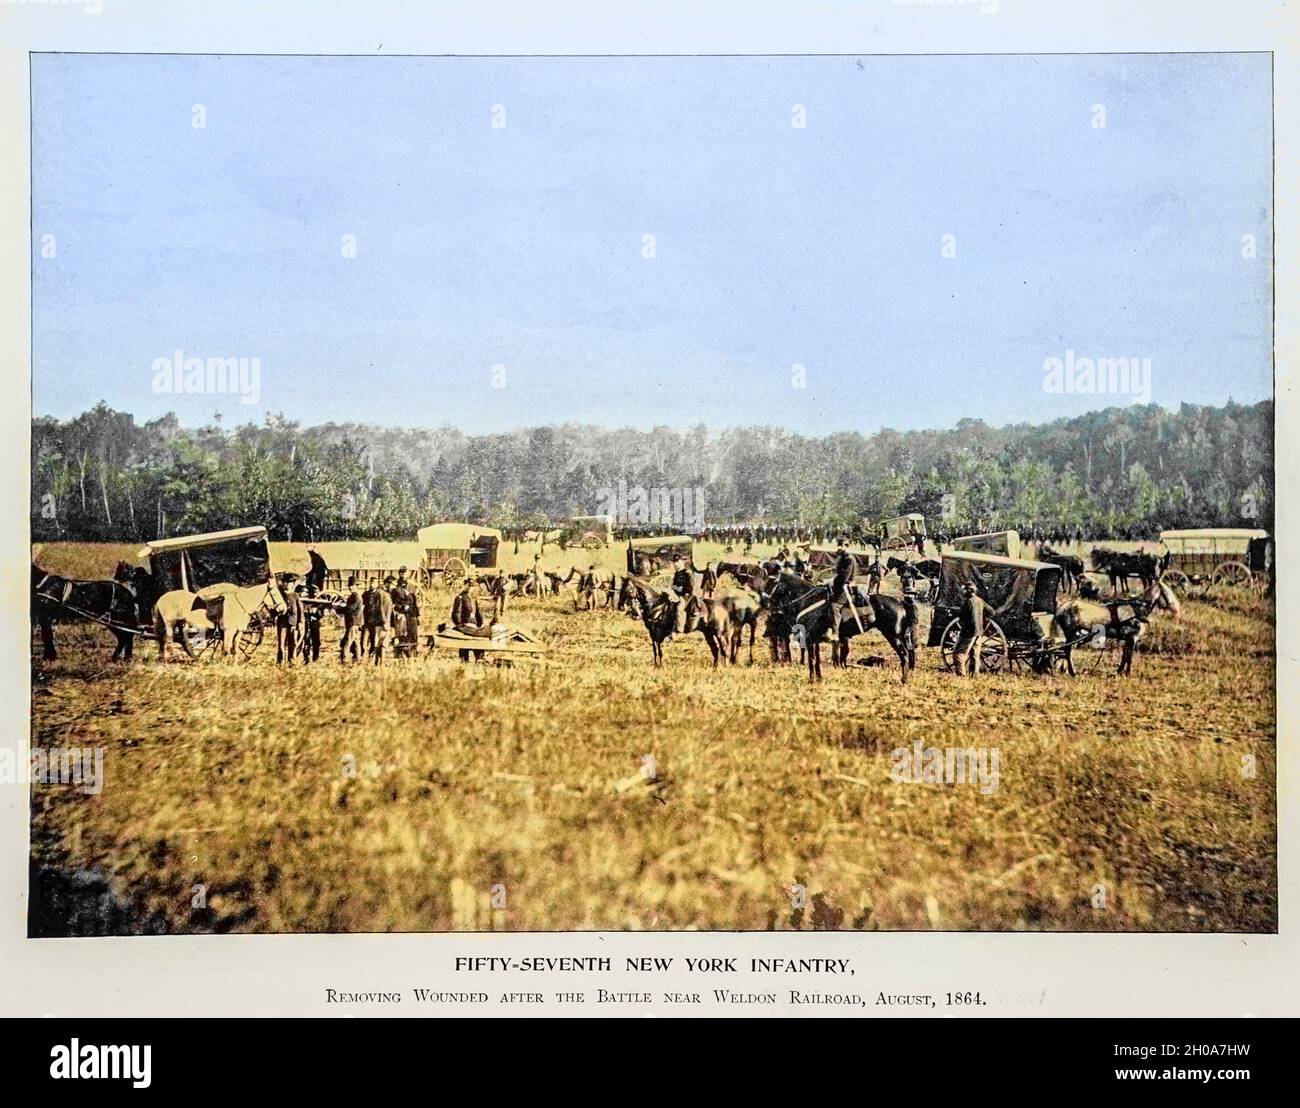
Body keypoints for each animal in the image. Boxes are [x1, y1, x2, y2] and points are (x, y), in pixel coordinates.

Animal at [152, 580, 287, 658]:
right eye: (275, 594)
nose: (285, 609)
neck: (240, 604)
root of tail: (161, 598)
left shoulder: (238, 632)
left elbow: (235, 649)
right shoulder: (228, 632)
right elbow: (226, 649)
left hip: (180, 623)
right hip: (170, 624)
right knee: (168, 641)